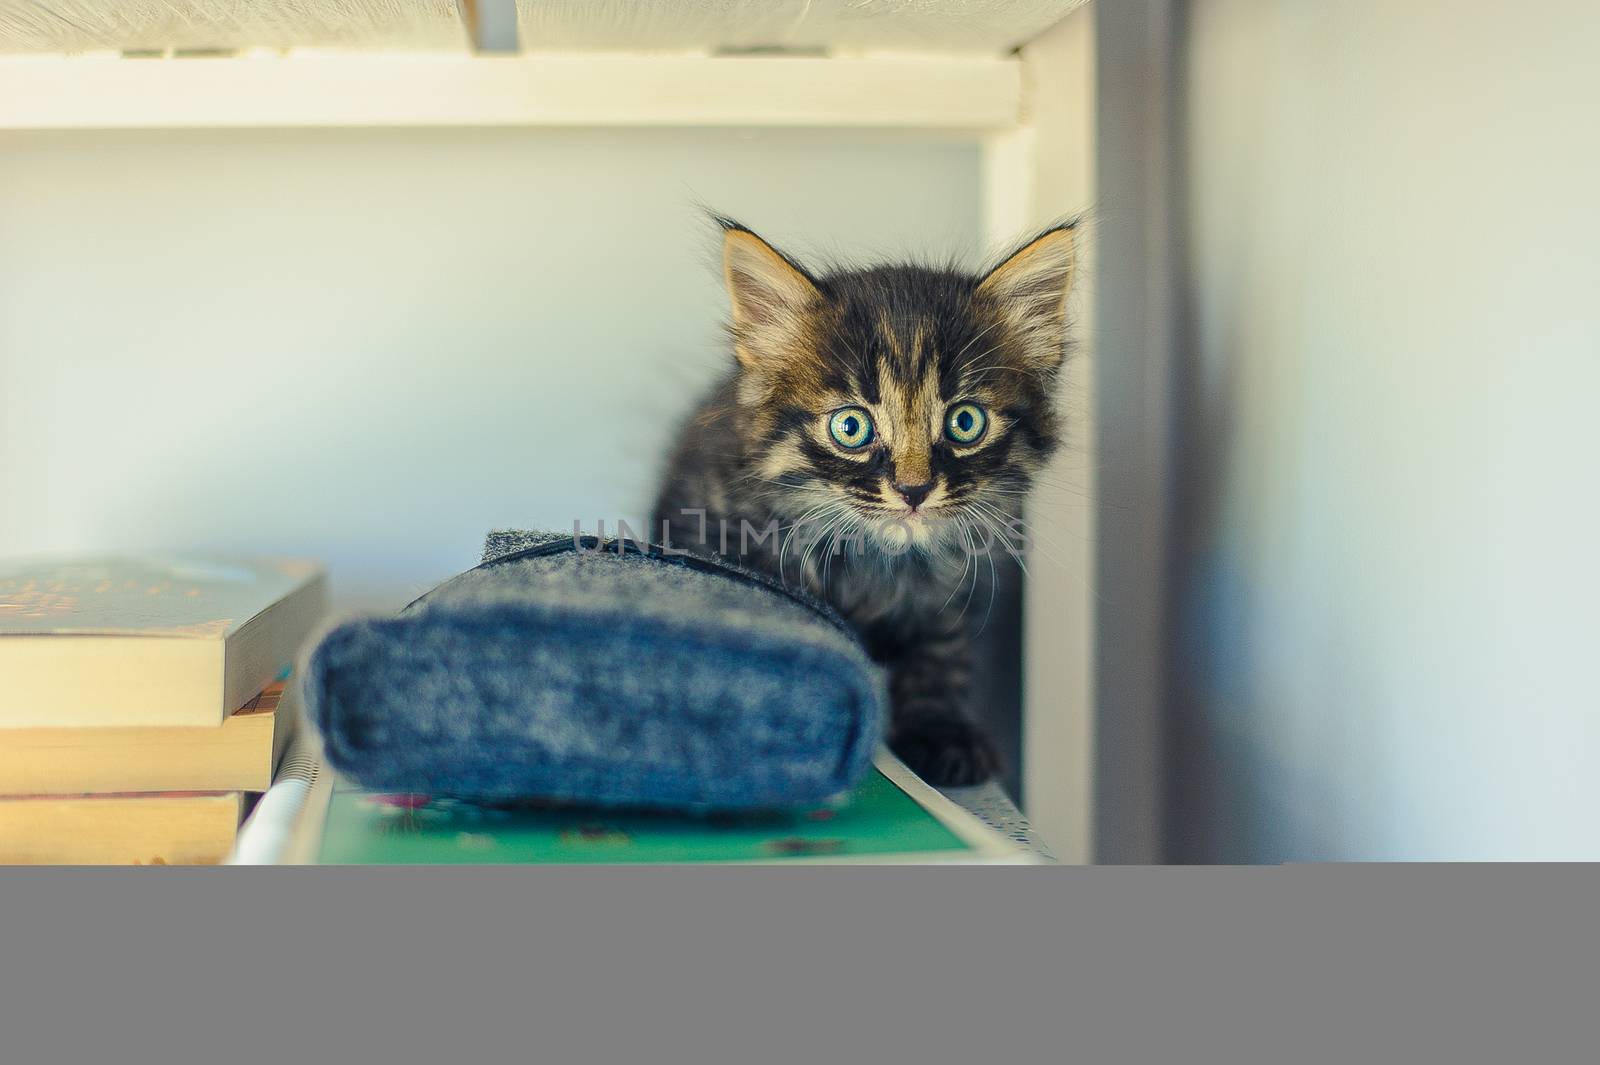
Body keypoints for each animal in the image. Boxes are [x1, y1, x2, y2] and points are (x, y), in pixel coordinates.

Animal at [656, 217, 1081, 780]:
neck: (880, 565)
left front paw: (942, 731)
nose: (913, 489)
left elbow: (940, 657)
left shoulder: (951, 597)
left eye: (965, 422)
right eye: (851, 427)